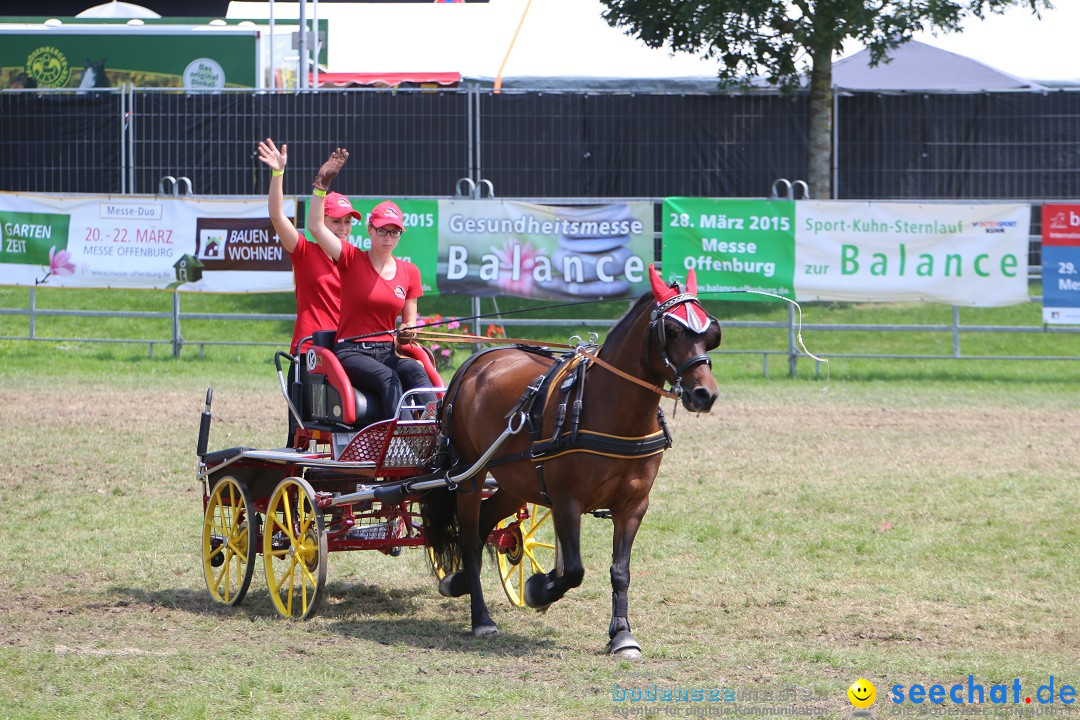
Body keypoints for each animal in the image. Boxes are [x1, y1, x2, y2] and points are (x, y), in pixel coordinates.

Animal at [425, 264, 721, 660]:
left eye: (711, 333)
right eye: (671, 331)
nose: (705, 394)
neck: (609, 409)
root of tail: (476, 362)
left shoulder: (634, 505)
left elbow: (620, 571)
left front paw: (622, 635)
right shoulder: (566, 501)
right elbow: (574, 571)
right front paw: (538, 589)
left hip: (515, 481)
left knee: (486, 523)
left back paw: (457, 582)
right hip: (469, 475)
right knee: (470, 538)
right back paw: (481, 618)